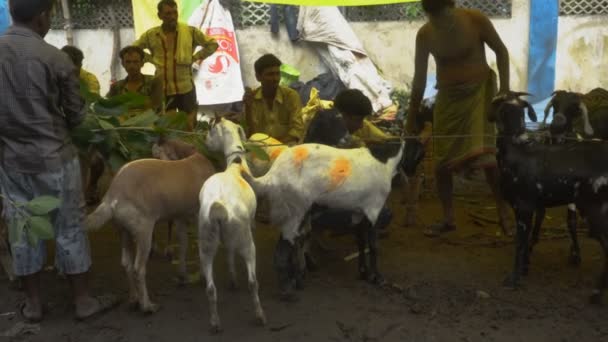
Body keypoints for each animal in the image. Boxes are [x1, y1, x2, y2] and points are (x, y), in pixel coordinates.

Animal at [200, 118, 266, 334]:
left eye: (211, 130)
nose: (205, 142)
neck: (235, 165)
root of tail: (218, 208)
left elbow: (228, 254)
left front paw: (232, 280)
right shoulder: (247, 226)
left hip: (206, 239)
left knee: (210, 288)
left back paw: (214, 323)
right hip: (246, 241)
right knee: (253, 282)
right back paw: (259, 316)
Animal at [492, 92, 608, 304]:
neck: (518, 149)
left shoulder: (524, 207)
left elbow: (519, 243)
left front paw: (513, 280)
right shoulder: (530, 207)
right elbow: (527, 240)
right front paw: (523, 269)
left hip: (595, 210)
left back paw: (596, 294)